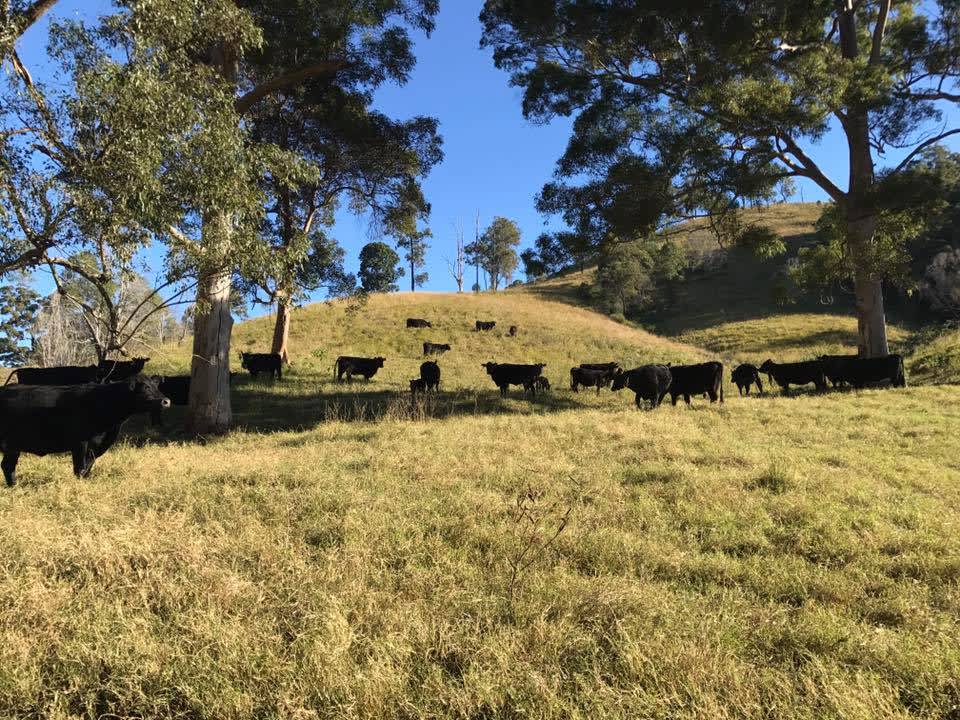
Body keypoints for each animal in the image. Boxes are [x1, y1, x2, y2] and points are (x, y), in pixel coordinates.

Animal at [0, 375, 170, 486]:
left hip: (13, 447)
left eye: (156, 386)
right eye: (145, 388)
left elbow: (87, 469)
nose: (166, 401)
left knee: (8, 466)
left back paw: (14, 487)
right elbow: (80, 468)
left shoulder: (96, 447)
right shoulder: (80, 443)